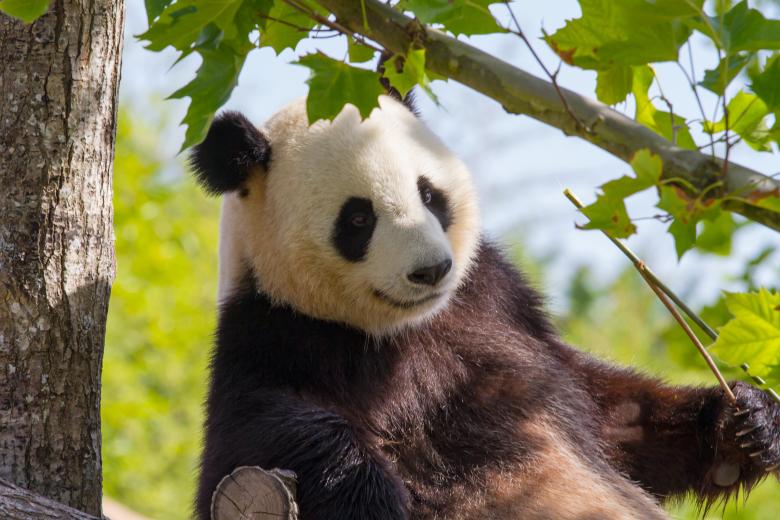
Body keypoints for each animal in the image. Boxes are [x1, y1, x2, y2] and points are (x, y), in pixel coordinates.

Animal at [191, 95, 780, 519]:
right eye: (358, 218)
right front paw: (365, 490)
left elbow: (616, 417)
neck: (402, 328)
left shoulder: (499, 308)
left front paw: (746, 421)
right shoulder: (277, 335)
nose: (431, 270)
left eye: (429, 194)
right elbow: (253, 439)